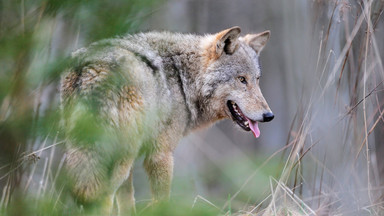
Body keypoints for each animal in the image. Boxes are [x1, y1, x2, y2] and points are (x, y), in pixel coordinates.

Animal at [60, 26, 272, 213]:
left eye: (257, 79)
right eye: (242, 79)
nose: (269, 116)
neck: (184, 80)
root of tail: (90, 70)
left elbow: (127, 203)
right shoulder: (160, 155)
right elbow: (162, 201)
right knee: (102, 198)